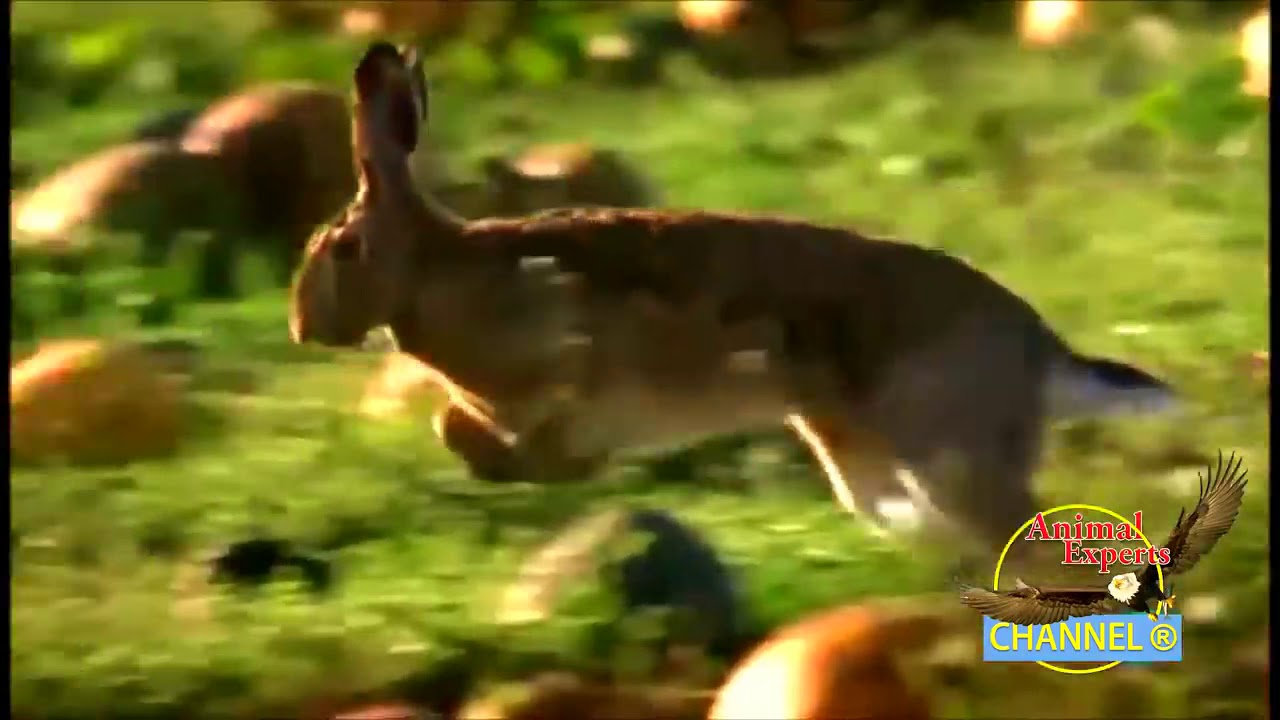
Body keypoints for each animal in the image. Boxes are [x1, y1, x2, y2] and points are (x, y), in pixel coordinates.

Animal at [289, 42, 1178, 556]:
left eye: (344, 249)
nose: (301, 329)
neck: (433, 267)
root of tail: (1040, 354)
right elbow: (465, 430)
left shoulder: (570, 366)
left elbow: (508, 430)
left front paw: (541, 463)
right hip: (859, 450)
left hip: (945, 447)